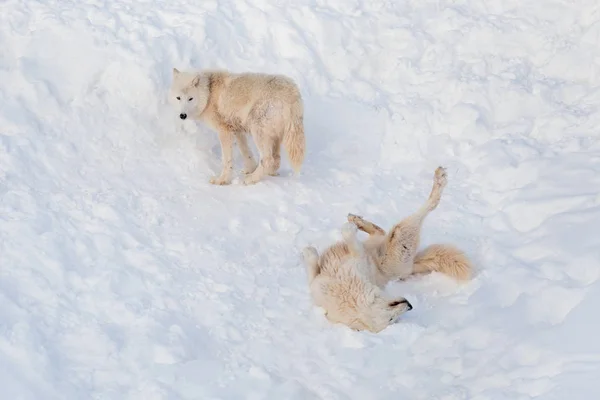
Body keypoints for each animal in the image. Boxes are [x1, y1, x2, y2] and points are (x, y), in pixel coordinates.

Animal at [171, 67, 308, 186]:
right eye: (178, 98)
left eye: (190, 99)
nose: (182, 115)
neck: (209, 93)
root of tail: (293, 93)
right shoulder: (237, 129)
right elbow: (245, 151)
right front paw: (250, 168)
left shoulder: (224, 131)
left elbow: (227, 160)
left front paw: (222, 180)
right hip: (274, 137)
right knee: (276, 160)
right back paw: (266, 174)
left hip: (258, 130)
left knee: (268, 159)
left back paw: (251, 179)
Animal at [304, 167, 474, 332]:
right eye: (392, 320)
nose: (410, 305)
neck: (348, 293)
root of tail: (410, 268)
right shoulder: (322, 279)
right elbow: (317, 263)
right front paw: (312, 251)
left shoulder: (355, 259)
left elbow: (337, 242)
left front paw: (310, 250)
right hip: (399, 238)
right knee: (423, 210)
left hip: (395, 236)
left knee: (387, 228)